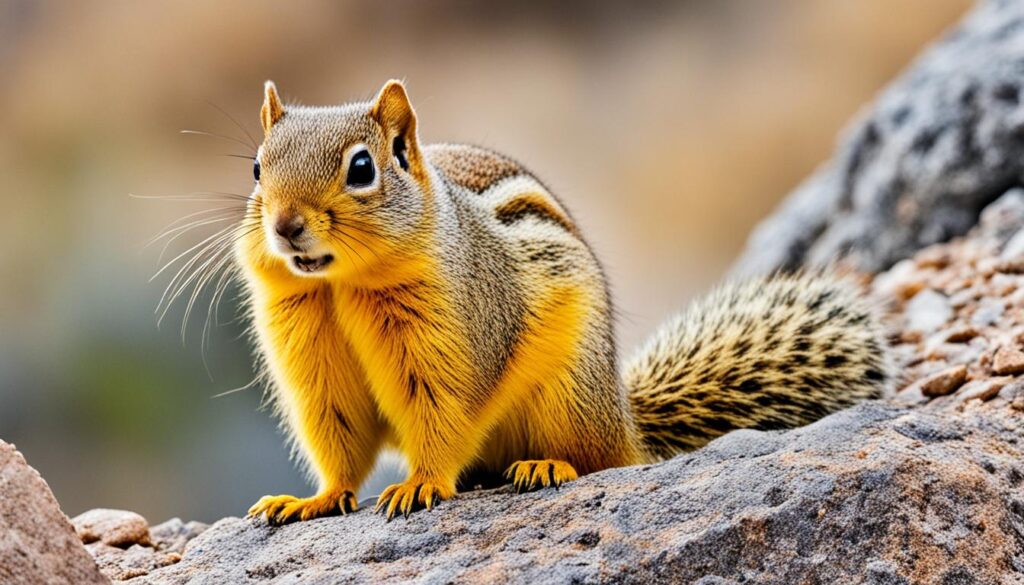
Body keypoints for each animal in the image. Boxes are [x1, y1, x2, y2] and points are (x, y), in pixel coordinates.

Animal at [232, 79, 888, 524]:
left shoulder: (451, 347)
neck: (340, 286)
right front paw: (315, 498)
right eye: (258, 169)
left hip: (568, 391)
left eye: (362, 167)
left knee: (596, 460)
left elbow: (442, 418)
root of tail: (624, 417)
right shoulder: (314, 372)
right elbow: (337, 439)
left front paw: (422, 482)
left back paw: (546, 466)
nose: (286, 225)